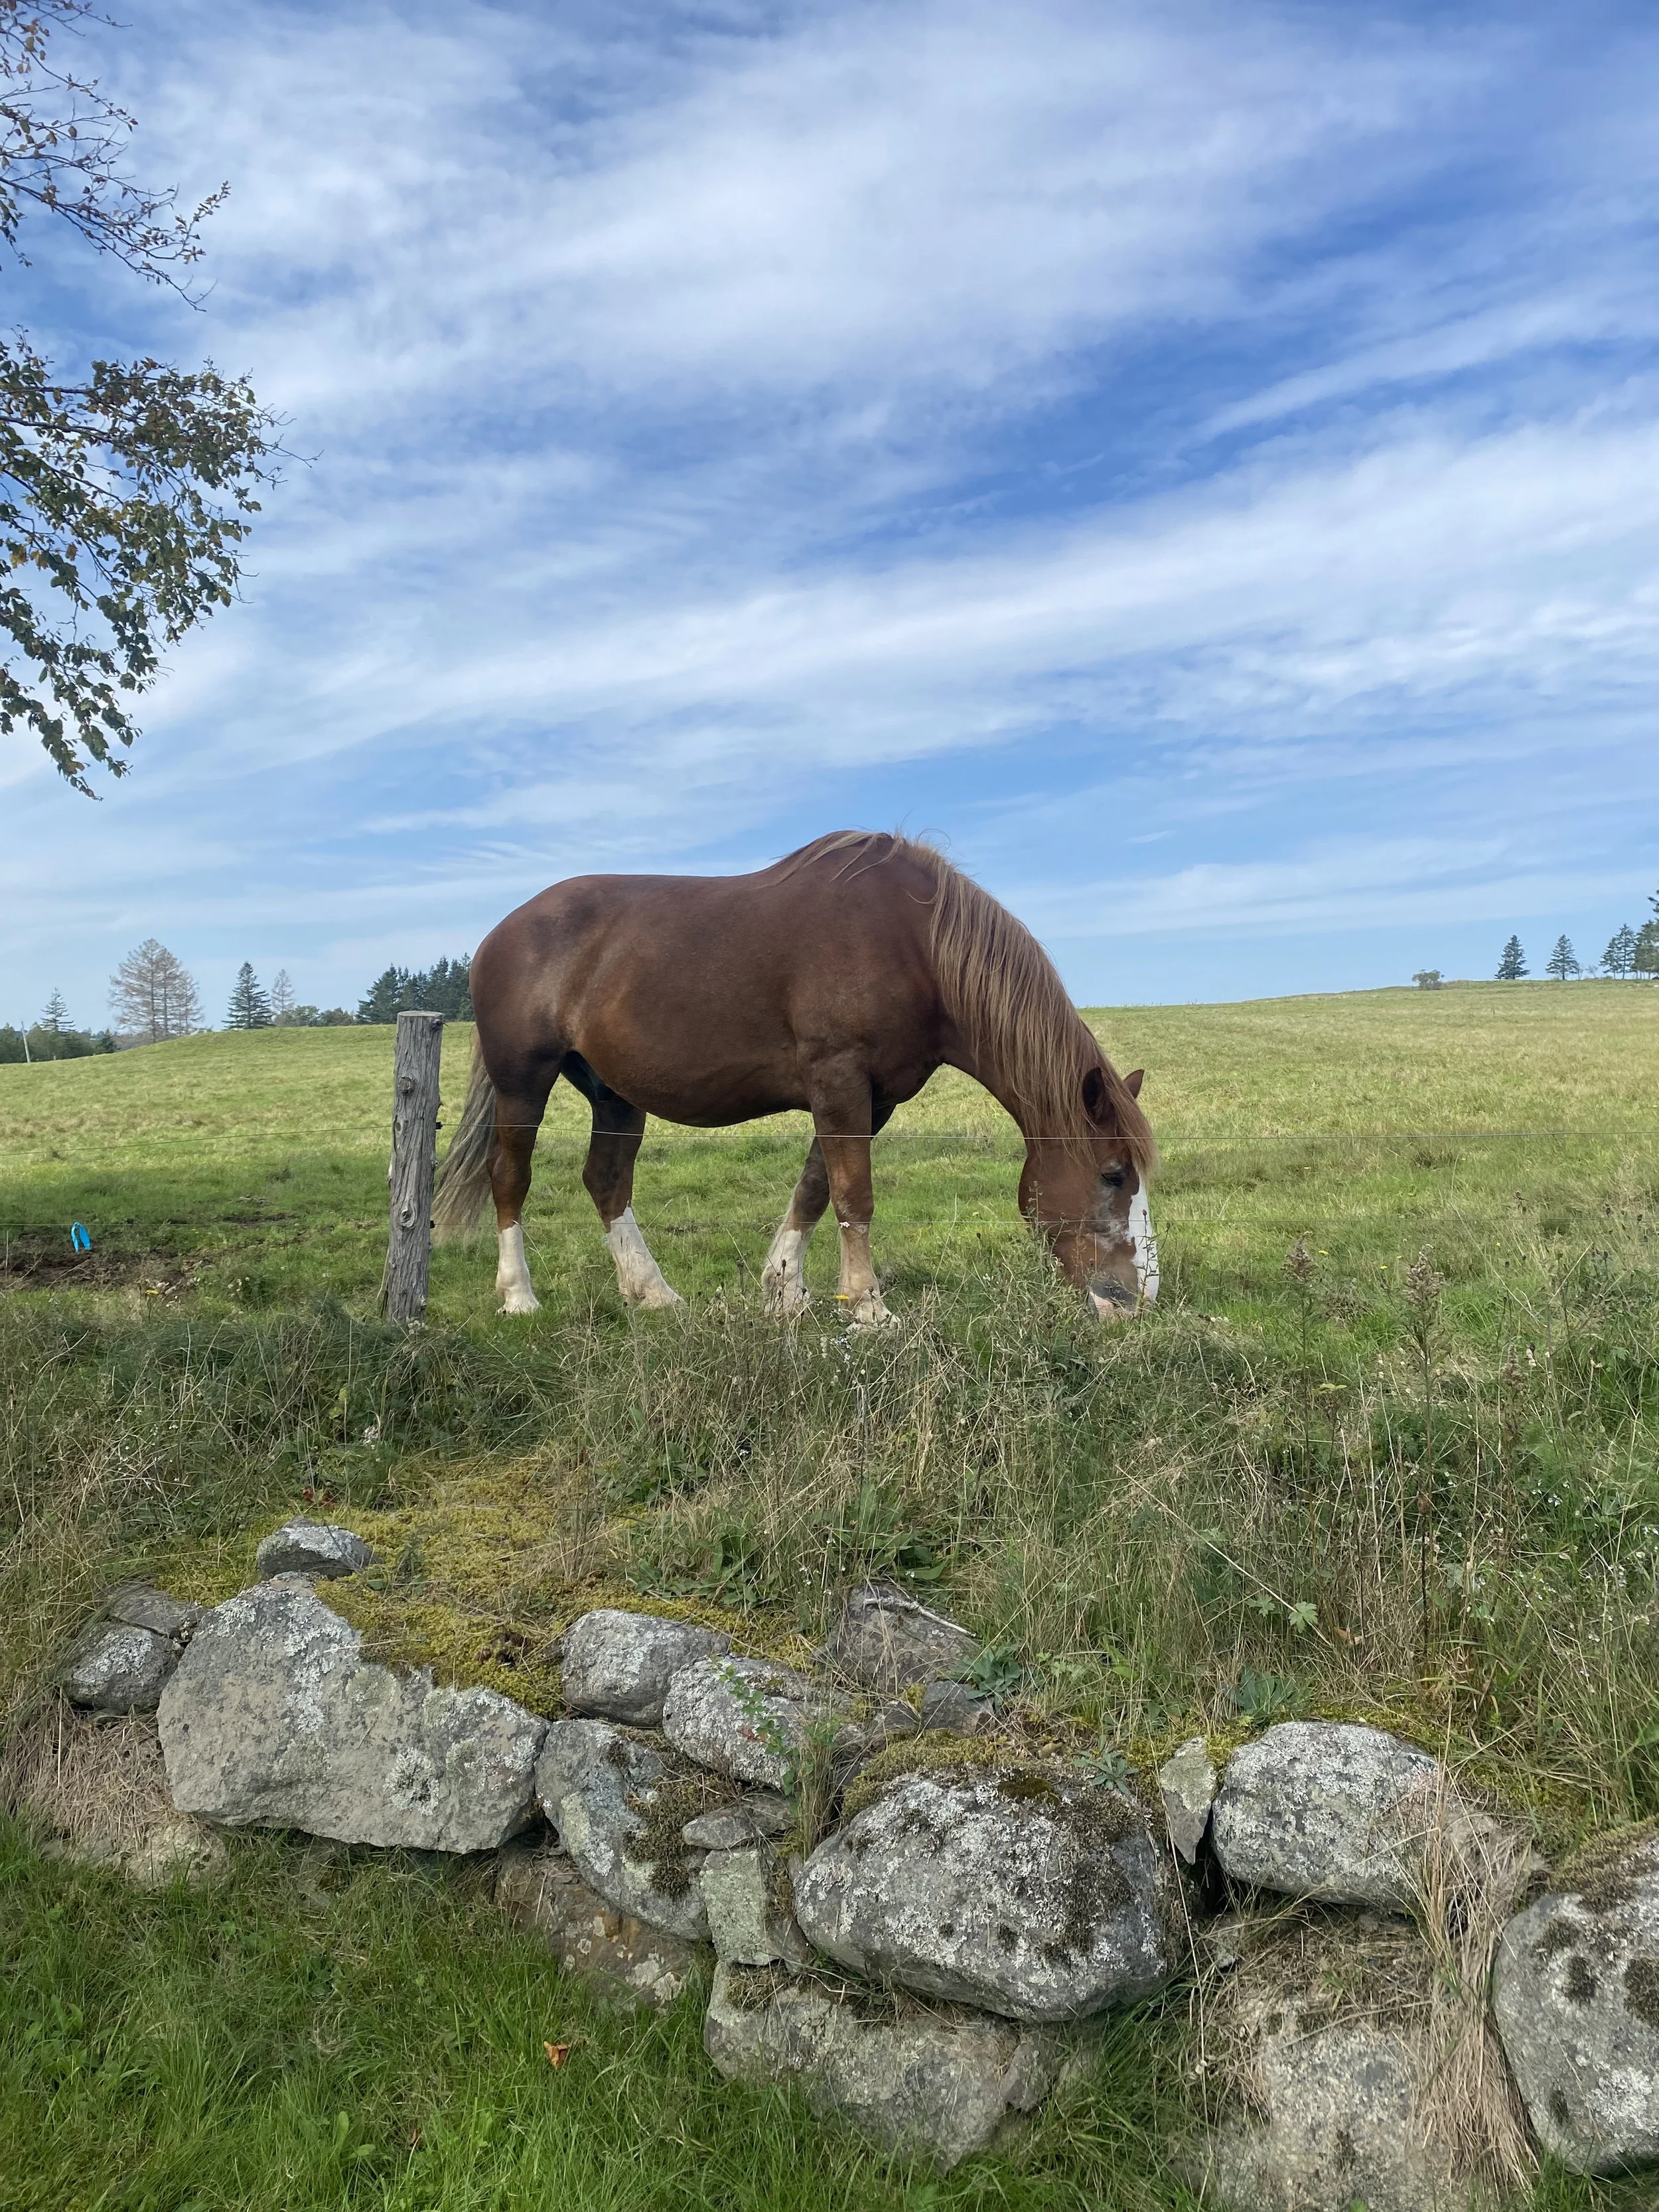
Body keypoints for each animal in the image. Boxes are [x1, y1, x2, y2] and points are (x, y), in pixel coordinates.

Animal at [432, 830, 1158, 1324]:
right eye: (1112, 1175)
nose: (1139, 1297)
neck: (915, 945)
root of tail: (502, 933)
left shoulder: (872, 1096)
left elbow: (816, 1188)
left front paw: (785, 1289)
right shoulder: (839, 1076)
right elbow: (854, 1194)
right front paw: (869, 1308)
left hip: (614, 1093)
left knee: (606, 1180)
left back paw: (653, 1292)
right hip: (524, 1080)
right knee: (510, 1176)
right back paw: (519, 1295)